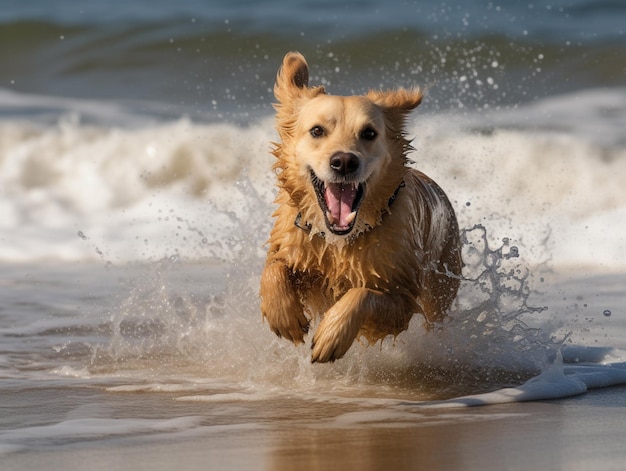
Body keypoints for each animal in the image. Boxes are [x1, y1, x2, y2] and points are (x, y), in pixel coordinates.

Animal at [260, 51, 464, 364]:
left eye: (369, 133)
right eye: (317, 130)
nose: (344, 161)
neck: (339, 241)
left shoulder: (404, 299)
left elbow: (362, 294)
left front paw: (332, 334)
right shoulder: (292, 243)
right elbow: (274, 268)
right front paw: (284, 316)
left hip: (440, 288)